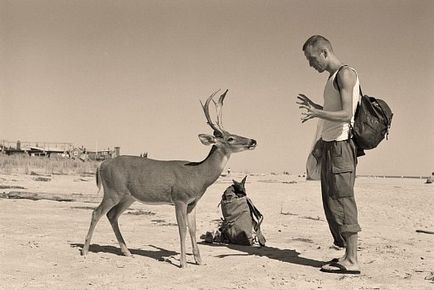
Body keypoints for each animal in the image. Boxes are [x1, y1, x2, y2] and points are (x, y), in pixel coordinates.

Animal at [81, 88, 256, 268]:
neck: (198, 175)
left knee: (112, 215)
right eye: (230, 138)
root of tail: (102, 164)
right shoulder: (179, 198)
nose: (253, 141)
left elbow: (193, 228)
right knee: (96, 212)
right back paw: (85, 251)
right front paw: (183, 262)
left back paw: (127, 252)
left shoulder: (192, 202)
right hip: (112, 191)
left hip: (128, 197)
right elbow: (182, 229)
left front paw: (199, 260)